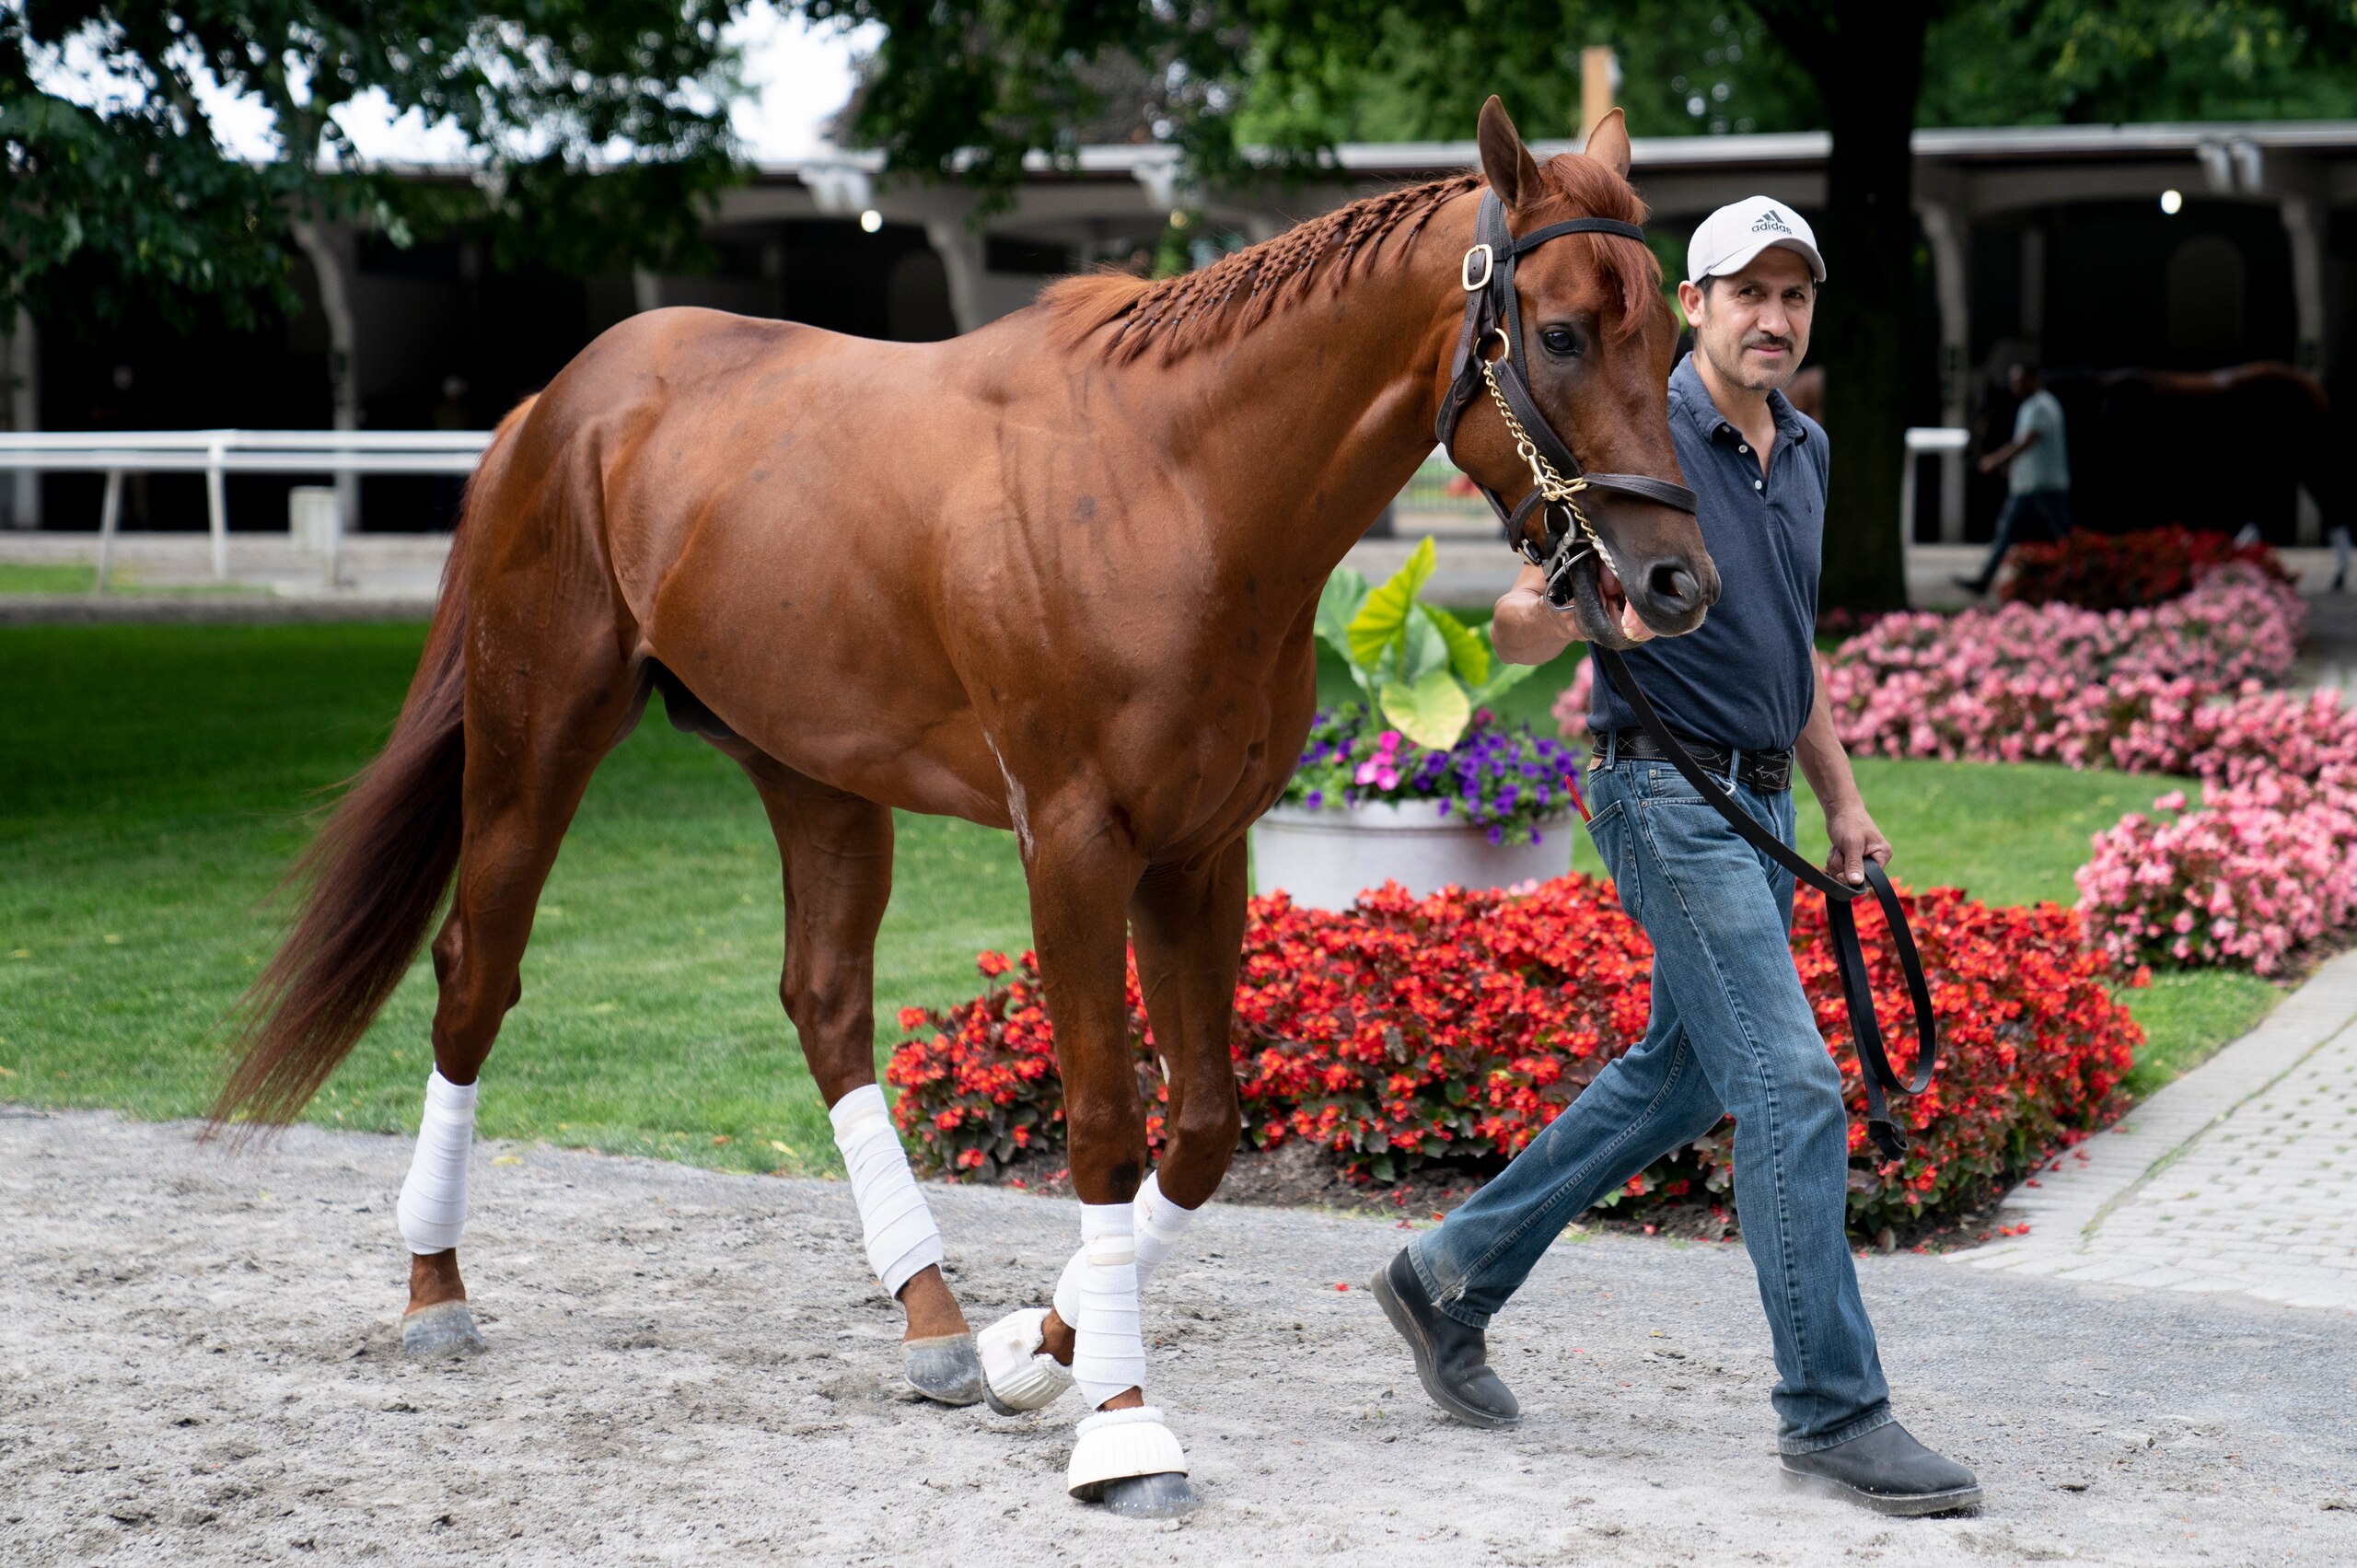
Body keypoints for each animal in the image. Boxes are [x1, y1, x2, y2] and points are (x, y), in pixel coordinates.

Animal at [211, 99, 1715, 1518]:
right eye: (1562, 333)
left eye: (1671, 341)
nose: (1677, 581)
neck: (1177, 483)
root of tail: (554, 403)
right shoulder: (1075, 843)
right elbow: (1104, 1120)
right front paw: (1124, 1429)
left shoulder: (1196, 848)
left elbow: (1203, 1126)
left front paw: (1033, 1352)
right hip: (537, 737)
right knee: (479, 969)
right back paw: (435, 1287)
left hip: (813, 771)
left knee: (825, 1002)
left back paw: (931, 1320)